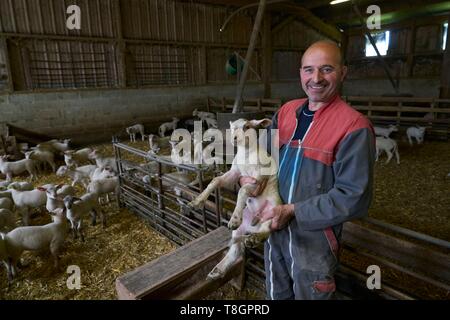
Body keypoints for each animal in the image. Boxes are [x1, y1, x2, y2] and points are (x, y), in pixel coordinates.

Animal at [187, 118, 282, 280]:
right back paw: (218, 270)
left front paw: (234, 219)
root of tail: (254, 224)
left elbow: (243, 191)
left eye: (247, 126)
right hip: (240, 230)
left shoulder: (258, 179)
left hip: (274, 208)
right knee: (236, 250)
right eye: (231, 128)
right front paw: (198, 201)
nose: (234, 138)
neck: (246, 155)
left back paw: (255, 238)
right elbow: (216, 181)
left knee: (268, 229)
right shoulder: (235, 173)